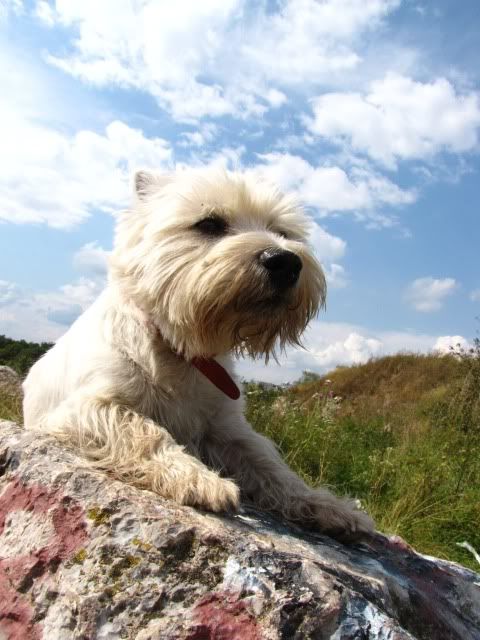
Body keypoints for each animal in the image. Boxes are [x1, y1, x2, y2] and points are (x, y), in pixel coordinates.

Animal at [23, 168, 374, 541]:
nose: (285, 261)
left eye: (282, 232)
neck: (184, 352)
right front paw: (198, 478)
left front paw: (327, 505)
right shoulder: (83, 408)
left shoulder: (227, 429)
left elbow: (271, 465)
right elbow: (143, 429)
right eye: (209, 223)